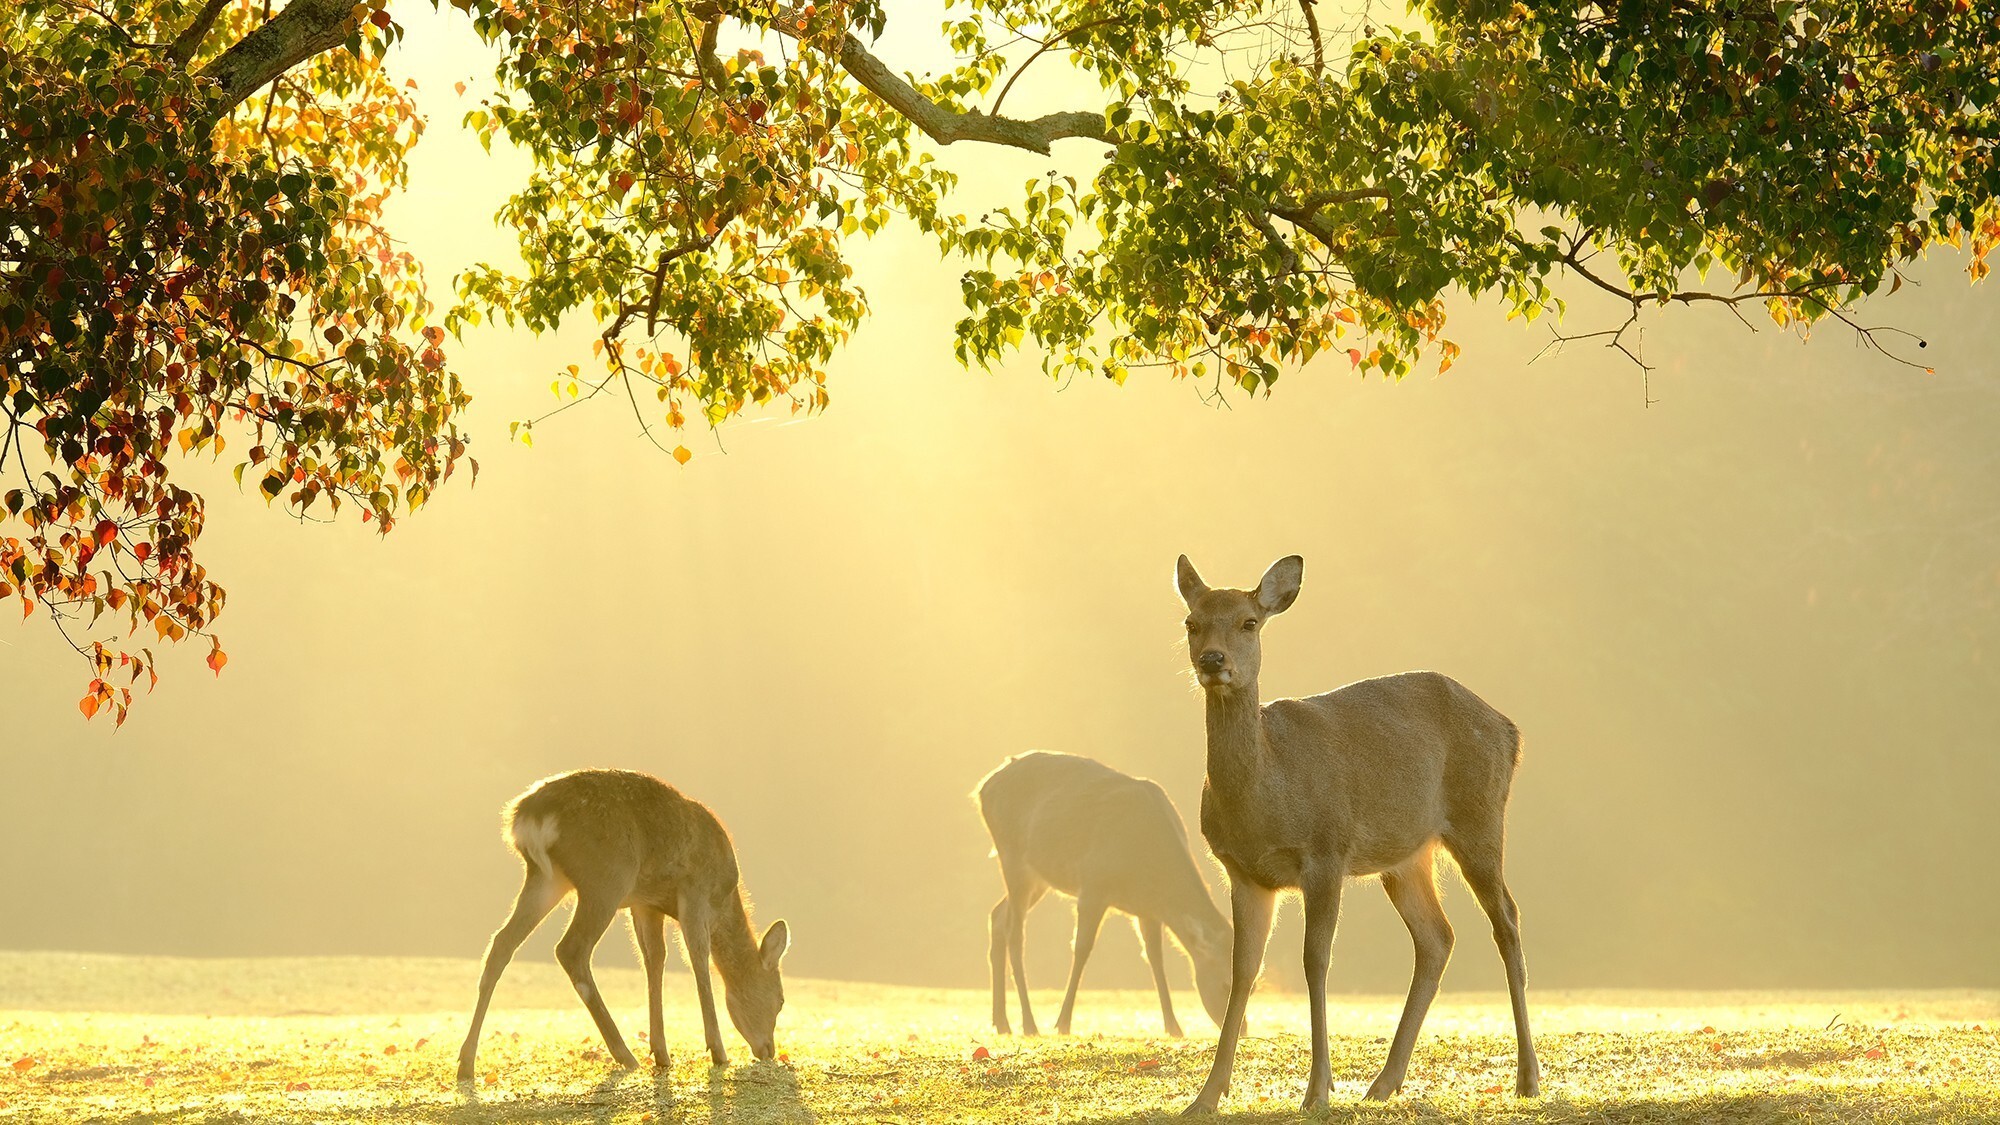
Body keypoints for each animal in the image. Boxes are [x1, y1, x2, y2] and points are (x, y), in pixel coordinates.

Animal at [458, 760, 792, 1080]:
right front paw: (718, 1052)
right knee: (570, 949)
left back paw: (466, 1063)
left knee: (501, 943)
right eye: (780, 1000)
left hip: (547, 879)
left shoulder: (645, 904)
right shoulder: (694, 889)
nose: (768, 1050)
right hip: (607, 878)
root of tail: (525, 815)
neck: (724, 898)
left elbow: (654, 959)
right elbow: (697, 956)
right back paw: (625, 1055)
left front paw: (662, 1053)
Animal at [972, 748, 1232, 1040]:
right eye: (1225, 984)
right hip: (1012, 857)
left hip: (1038, 878)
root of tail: (982, 788)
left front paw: (1173, 1027)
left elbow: (1154, 957)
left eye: (1253, 984)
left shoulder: (1147, 911)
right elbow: (1082, 948)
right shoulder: (1093, 885)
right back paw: (1029, 1024)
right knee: (1015, 934)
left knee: (997, 916)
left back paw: (1001, 1022)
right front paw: (1062, 1023)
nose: (1242, 1028)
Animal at [1168, 552, 1544, 1104]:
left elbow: (1315, 960)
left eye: (1249, 622)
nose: (1213, 661)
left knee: (1508, 920)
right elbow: (1244, 970)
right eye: (1191, 623)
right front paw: (1207, 1095)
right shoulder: (1244, 873)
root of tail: (1510, 730)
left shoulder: (1326, 850)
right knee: (1438, 937)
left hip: (1480, 817)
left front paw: (1317, 1090)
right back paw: (1384, 1083)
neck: (1265, 796)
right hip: (1406, 857)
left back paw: (1528, 1076)